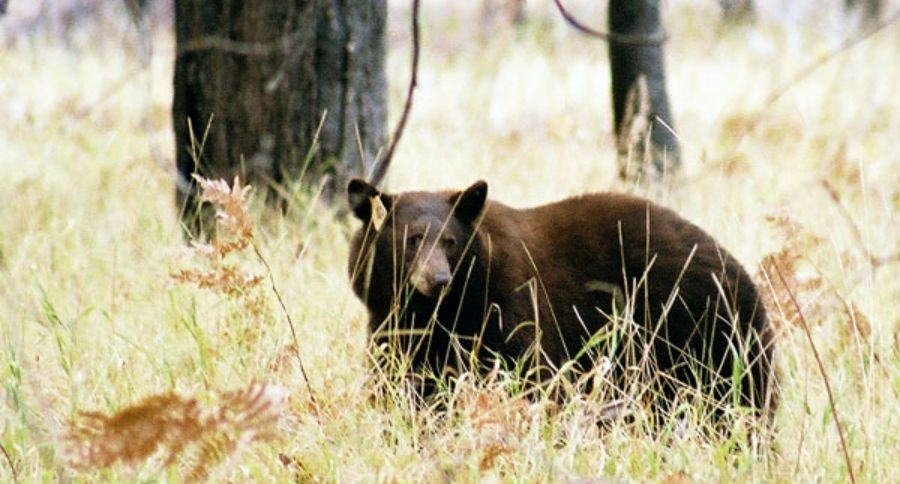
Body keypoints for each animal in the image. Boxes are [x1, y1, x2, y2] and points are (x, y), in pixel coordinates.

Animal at [347, 178, 776, 423]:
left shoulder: (510, 305)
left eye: (450, 241)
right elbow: (401, 384)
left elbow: (530, 374)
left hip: (702, 332)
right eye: (412, 239)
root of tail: (736, 267)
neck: (443, 311)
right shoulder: (395, 329)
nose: (438, 279)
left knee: (736, 396)